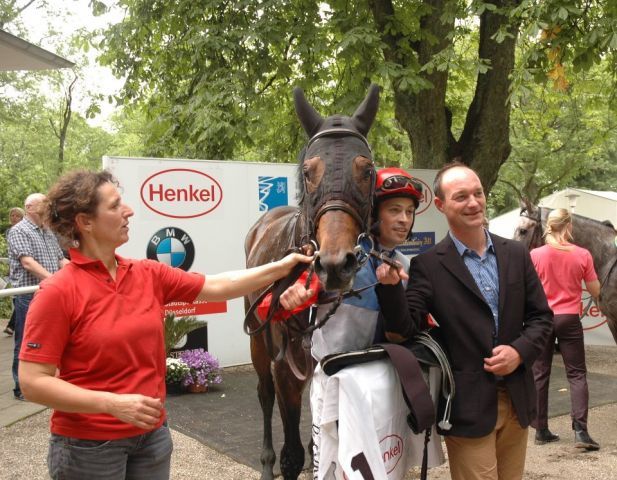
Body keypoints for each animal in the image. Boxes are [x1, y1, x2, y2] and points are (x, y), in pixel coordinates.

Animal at [243, 85, 378, 480]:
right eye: (307, 171)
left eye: (367, 170)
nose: (334, 263)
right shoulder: (286, 369)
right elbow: (291, 454)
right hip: (259, 345)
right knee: (265, 394)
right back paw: (266, 462)